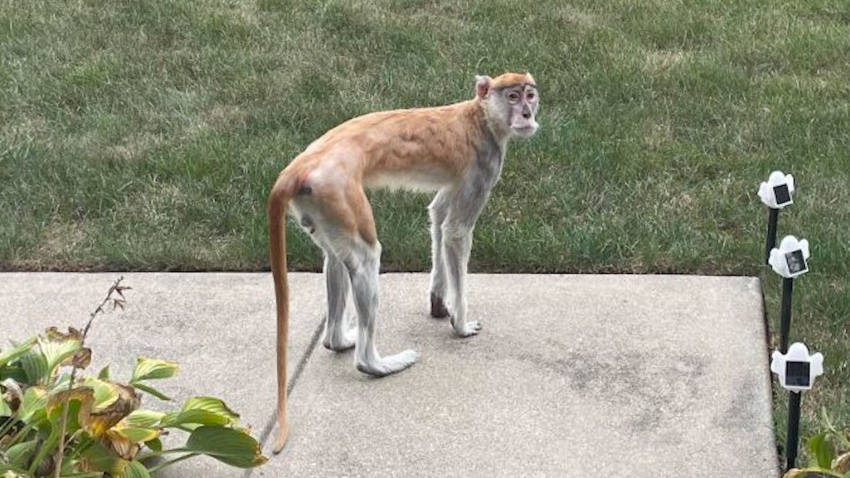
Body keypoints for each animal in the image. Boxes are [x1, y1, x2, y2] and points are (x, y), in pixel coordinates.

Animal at [268, 72, 540, 452]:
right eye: (512, 97)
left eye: (530, 94)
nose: (527, 114)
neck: (480, 115)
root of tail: (298, 169)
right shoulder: (483, 164)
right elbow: (456, 232)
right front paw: (460, 323)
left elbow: (438, 216)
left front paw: (439, 302)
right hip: (338, 193)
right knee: (366, 258)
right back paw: (375, 363)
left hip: (318, 204)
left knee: (335, 260)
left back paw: (338, 340)